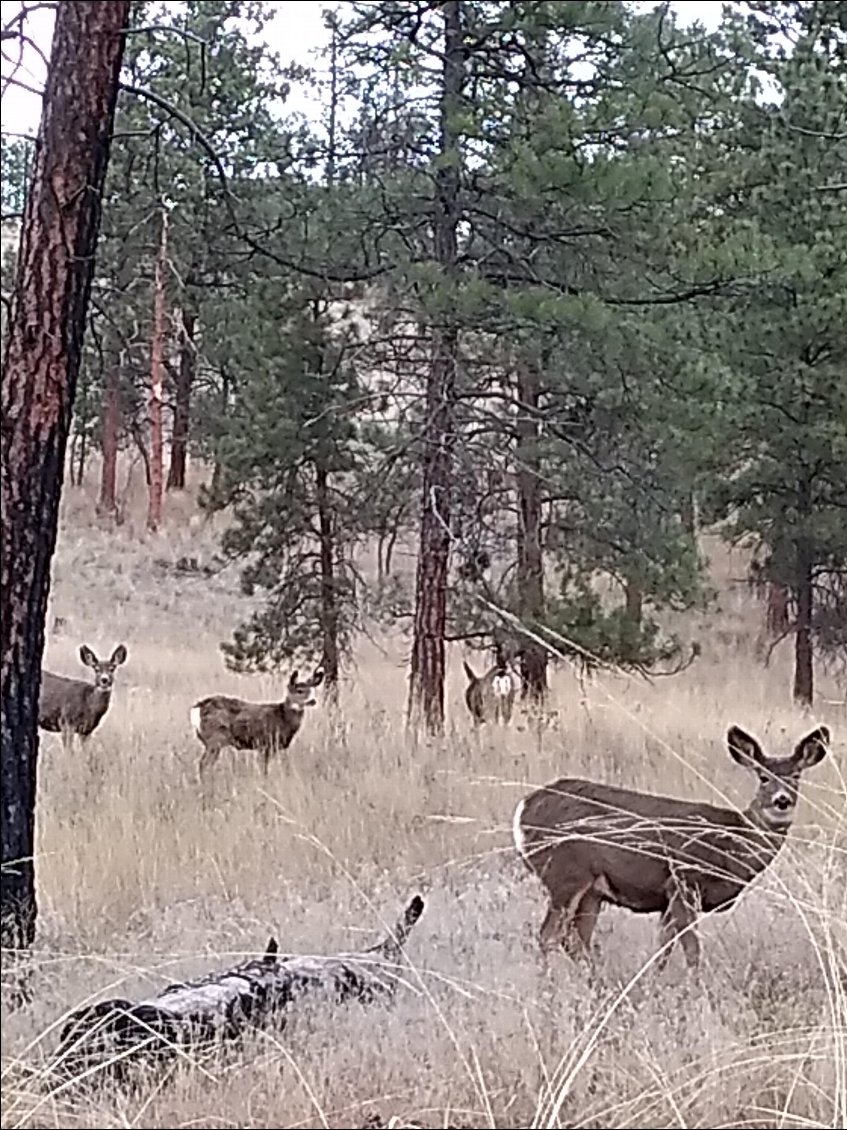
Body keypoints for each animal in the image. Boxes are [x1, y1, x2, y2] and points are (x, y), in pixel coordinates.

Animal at [191, 664, 325, 781]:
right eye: (299, 690)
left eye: (312, 690)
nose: (313, 701)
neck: (282, 718)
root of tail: (197, 707)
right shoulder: (266, 742)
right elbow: (264, 768)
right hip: (215, 738)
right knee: (203, 763)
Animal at [514, 727, 831, 967]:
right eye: (763, 778)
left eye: (795, 777)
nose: (782, 800)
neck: (730, 844)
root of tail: (524, 808)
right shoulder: (683, 883)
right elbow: (692, 951)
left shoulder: (668, 899)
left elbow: (662, 949)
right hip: (565, 874)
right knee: (548, 936)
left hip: (592, 891)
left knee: (576, 941)